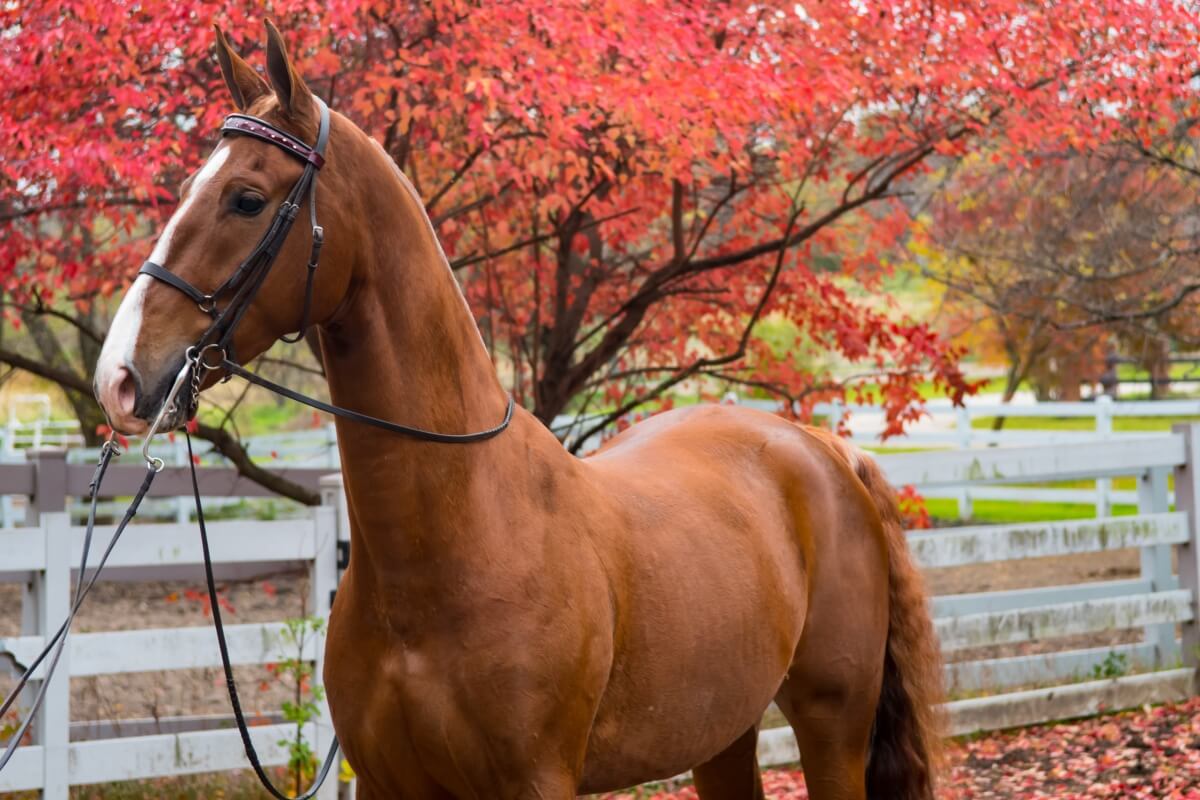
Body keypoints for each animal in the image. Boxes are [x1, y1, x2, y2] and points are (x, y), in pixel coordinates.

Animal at [92, 21, 942, 800]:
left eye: (247, 198)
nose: (120, 378)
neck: (456, 538)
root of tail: (821, 449)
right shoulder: (389, 783)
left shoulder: (537, 781)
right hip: (721, 732)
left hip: (832, 724)